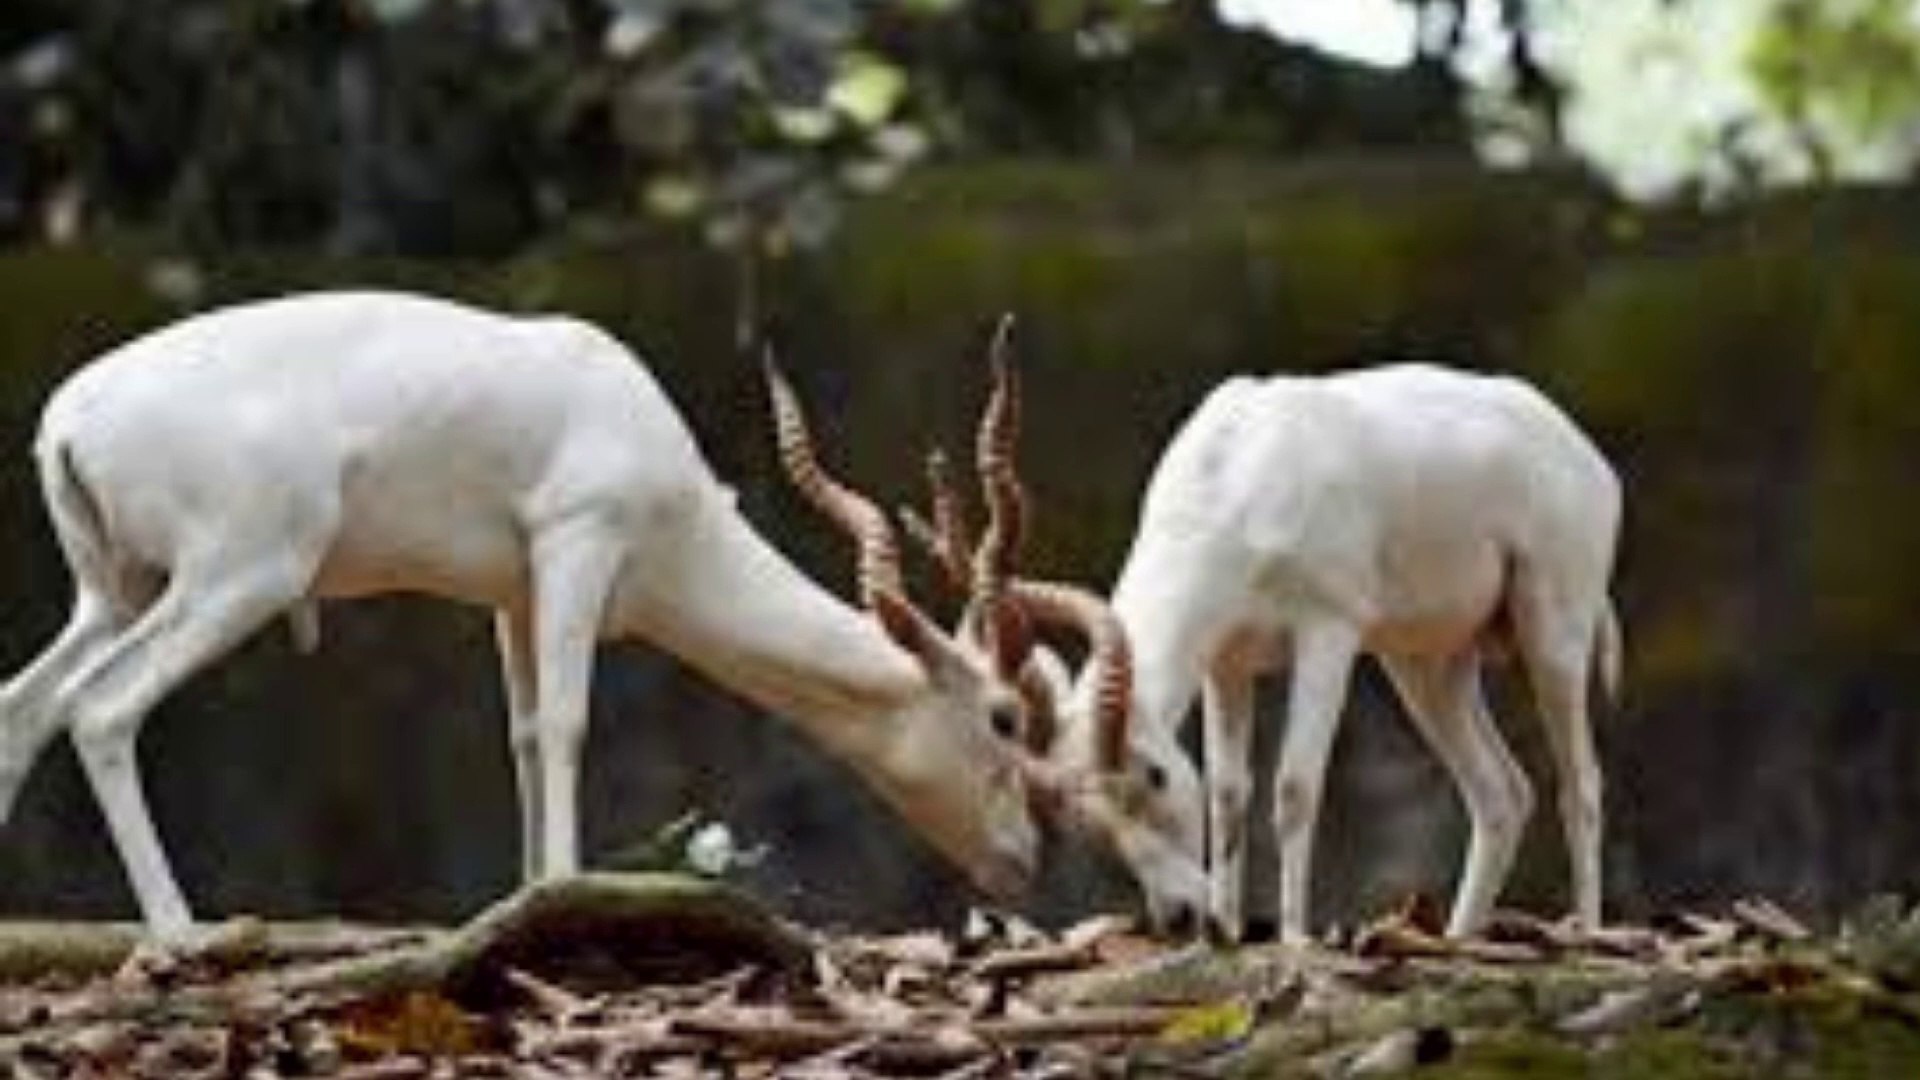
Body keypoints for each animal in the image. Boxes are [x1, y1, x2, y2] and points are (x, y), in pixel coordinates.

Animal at [0, 290, 1113, 937]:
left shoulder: (514, 593)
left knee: (24, 703)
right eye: (1004, 720)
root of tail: (68, 420)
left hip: (117, 592)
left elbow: (526, 736)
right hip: (241, 575)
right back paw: (182, 932)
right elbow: (570, 727)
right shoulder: (580, 542)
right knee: (99, 710)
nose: (1023, 861)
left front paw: (529, 897)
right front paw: (573, 897)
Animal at [1029, 361, 1612, 933]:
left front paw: (1292, 938)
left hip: (1551, 635)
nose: (1179, 916)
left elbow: (1295, 787)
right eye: (1095, 824)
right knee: (1501, 794)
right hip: (1427, 667)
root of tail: (1585, 457)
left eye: (1154, 776)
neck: (1237, 468)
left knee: (1580, 784)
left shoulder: (1327, 634)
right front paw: (1230, 931)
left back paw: (1587, 933)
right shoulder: (1227, 662)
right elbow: (1227, 794)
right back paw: (1459, 936)